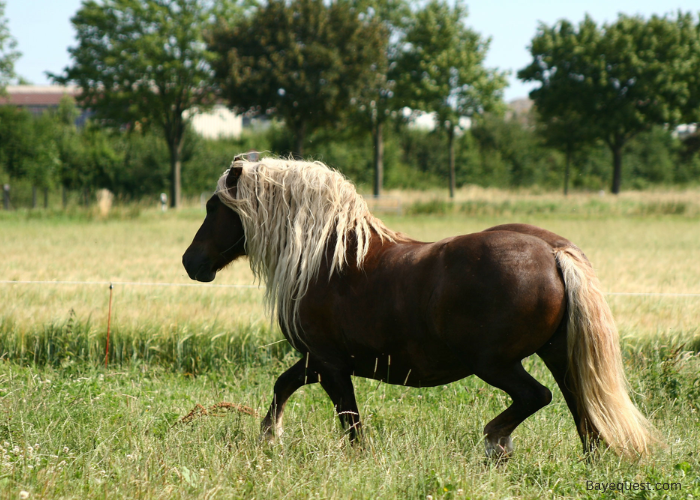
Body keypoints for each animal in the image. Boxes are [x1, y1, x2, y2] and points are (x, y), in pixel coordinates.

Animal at [182, 157, 655, 459]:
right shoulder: (320, 360)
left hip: (494, 363)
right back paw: (591, 459)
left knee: (536, 396)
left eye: (214, 206)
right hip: (557, 354)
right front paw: (270, 438)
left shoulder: (330, 364)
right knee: (582, 408)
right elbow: (283, 386)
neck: (326, 258)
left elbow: (349, 422)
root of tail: (552, 252)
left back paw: (495, 441)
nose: (191, 262)